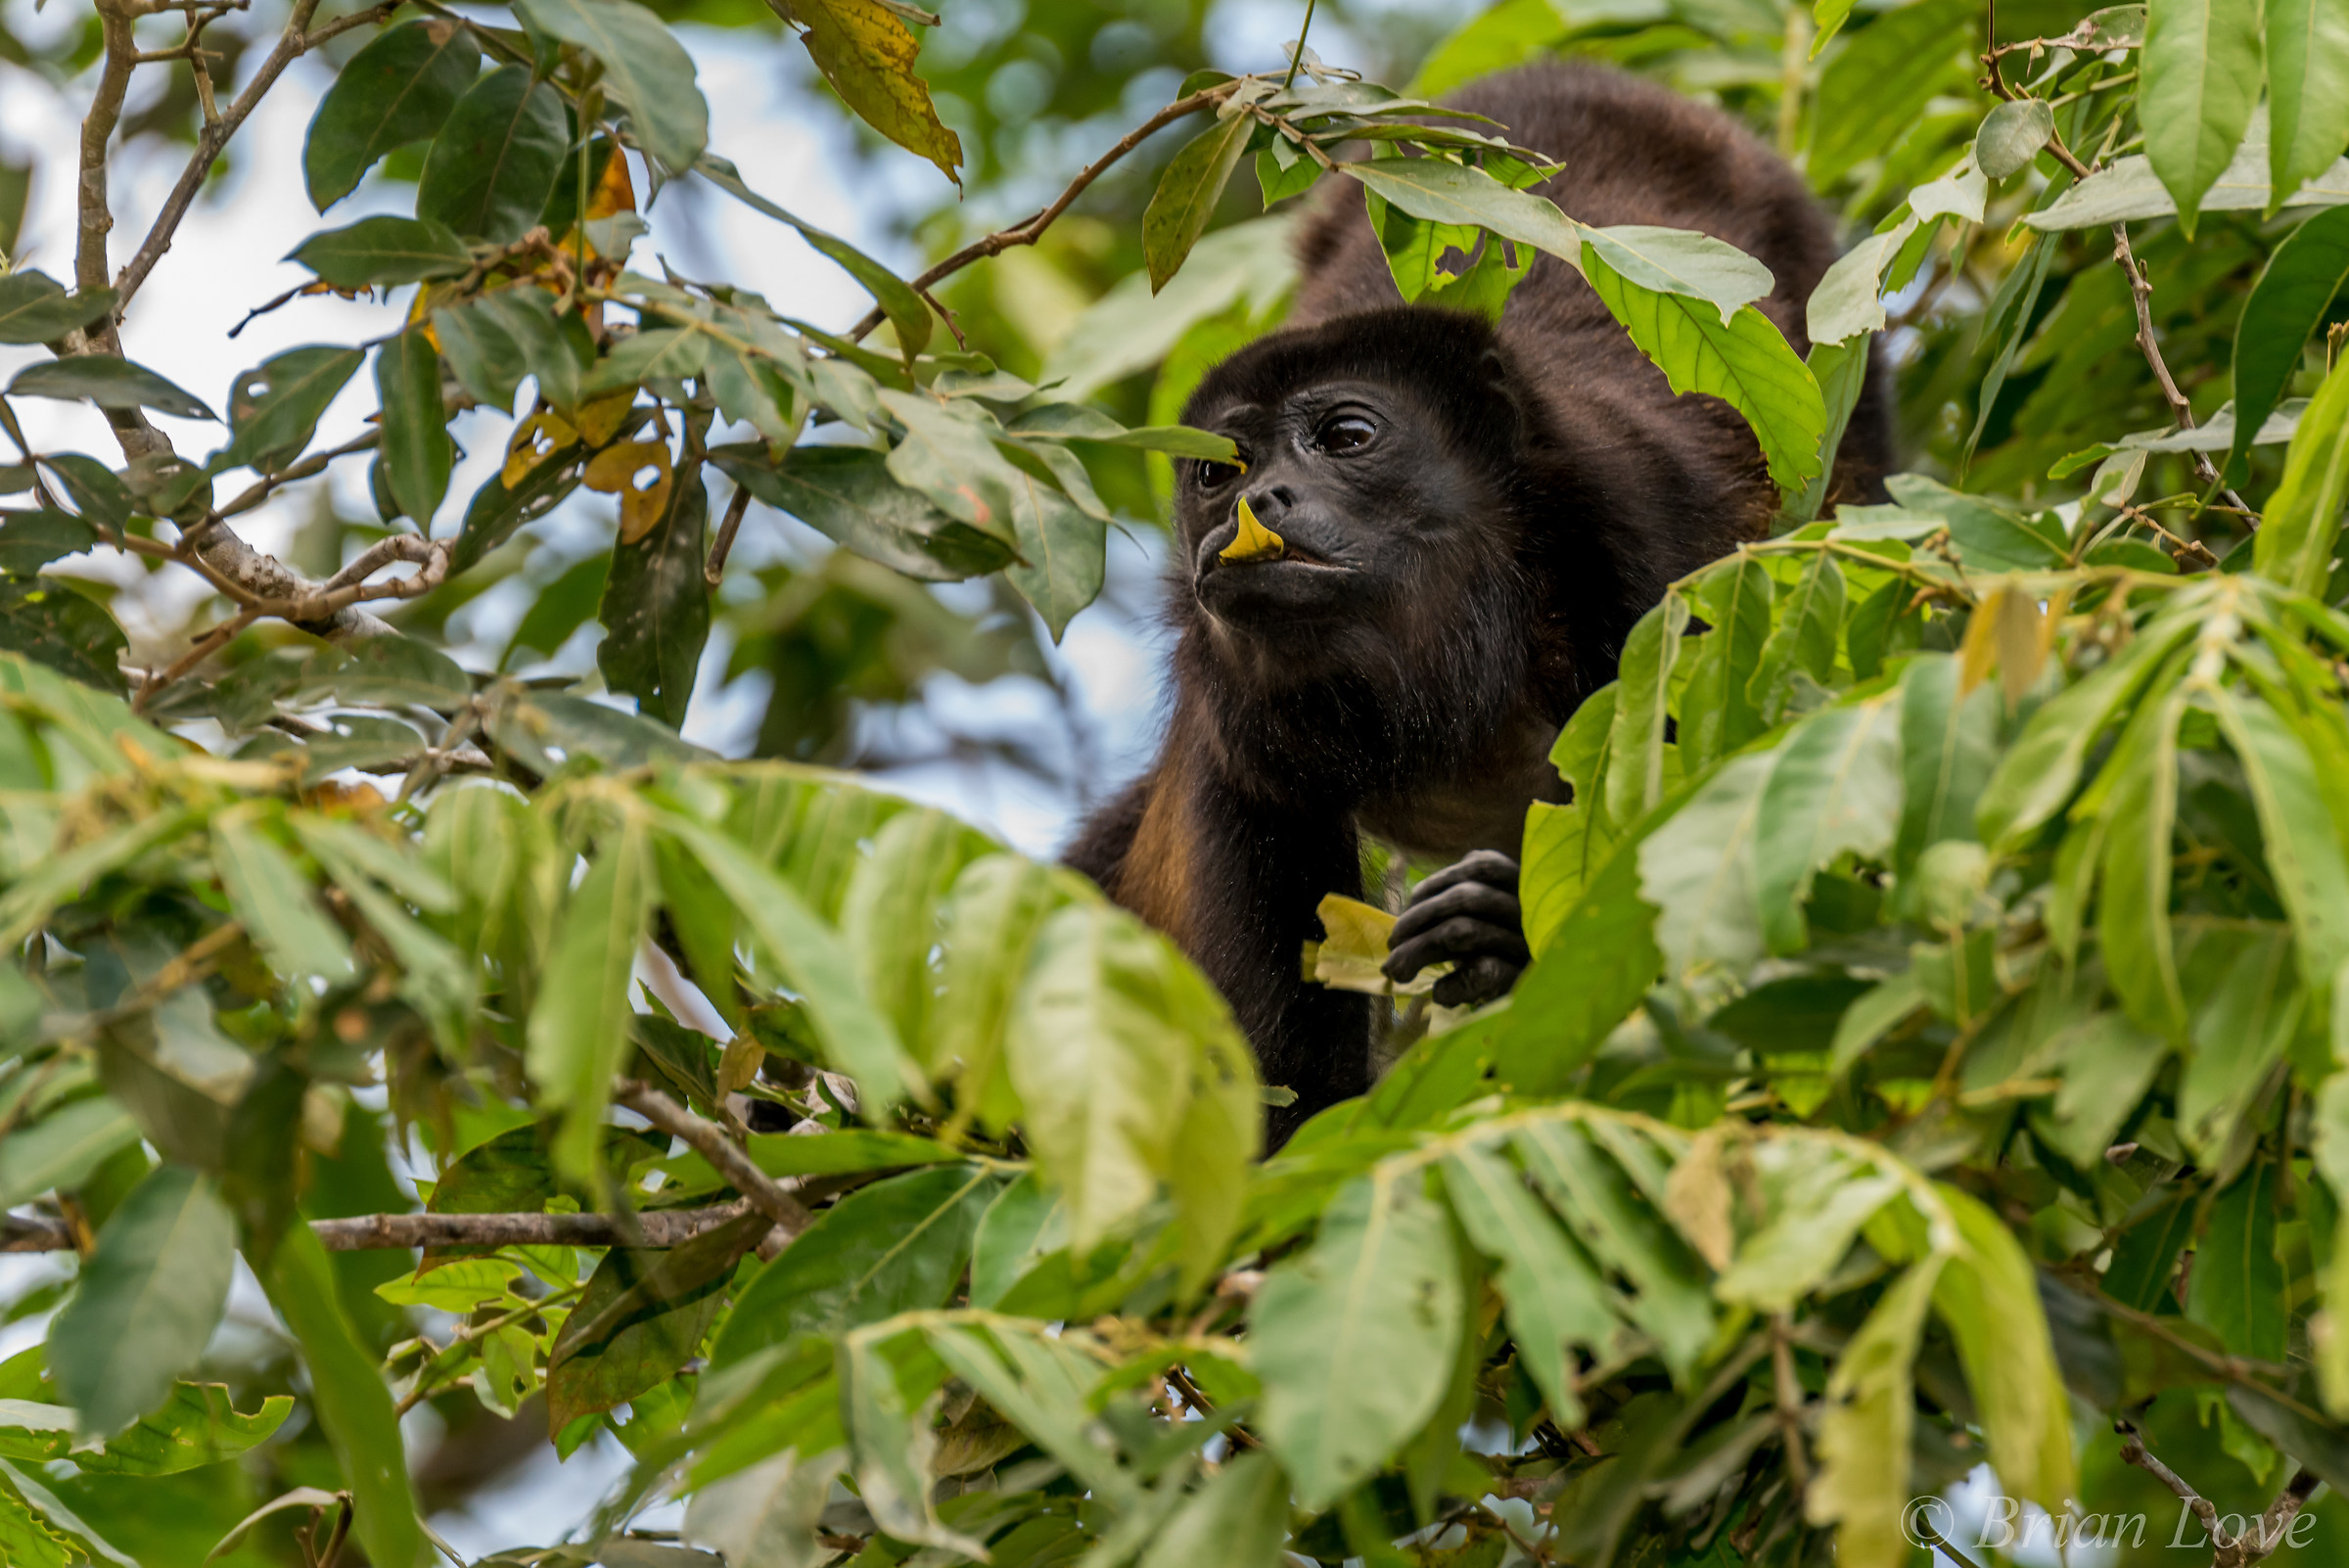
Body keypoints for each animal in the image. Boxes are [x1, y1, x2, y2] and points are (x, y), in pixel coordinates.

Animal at [1065, 62, 1892, 1143]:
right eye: (1217, 470)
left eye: (1347, 437)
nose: (1255, 501)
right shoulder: (1235, 752)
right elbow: (1284, 1105)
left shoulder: (1656, 557)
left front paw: (1505, 936)